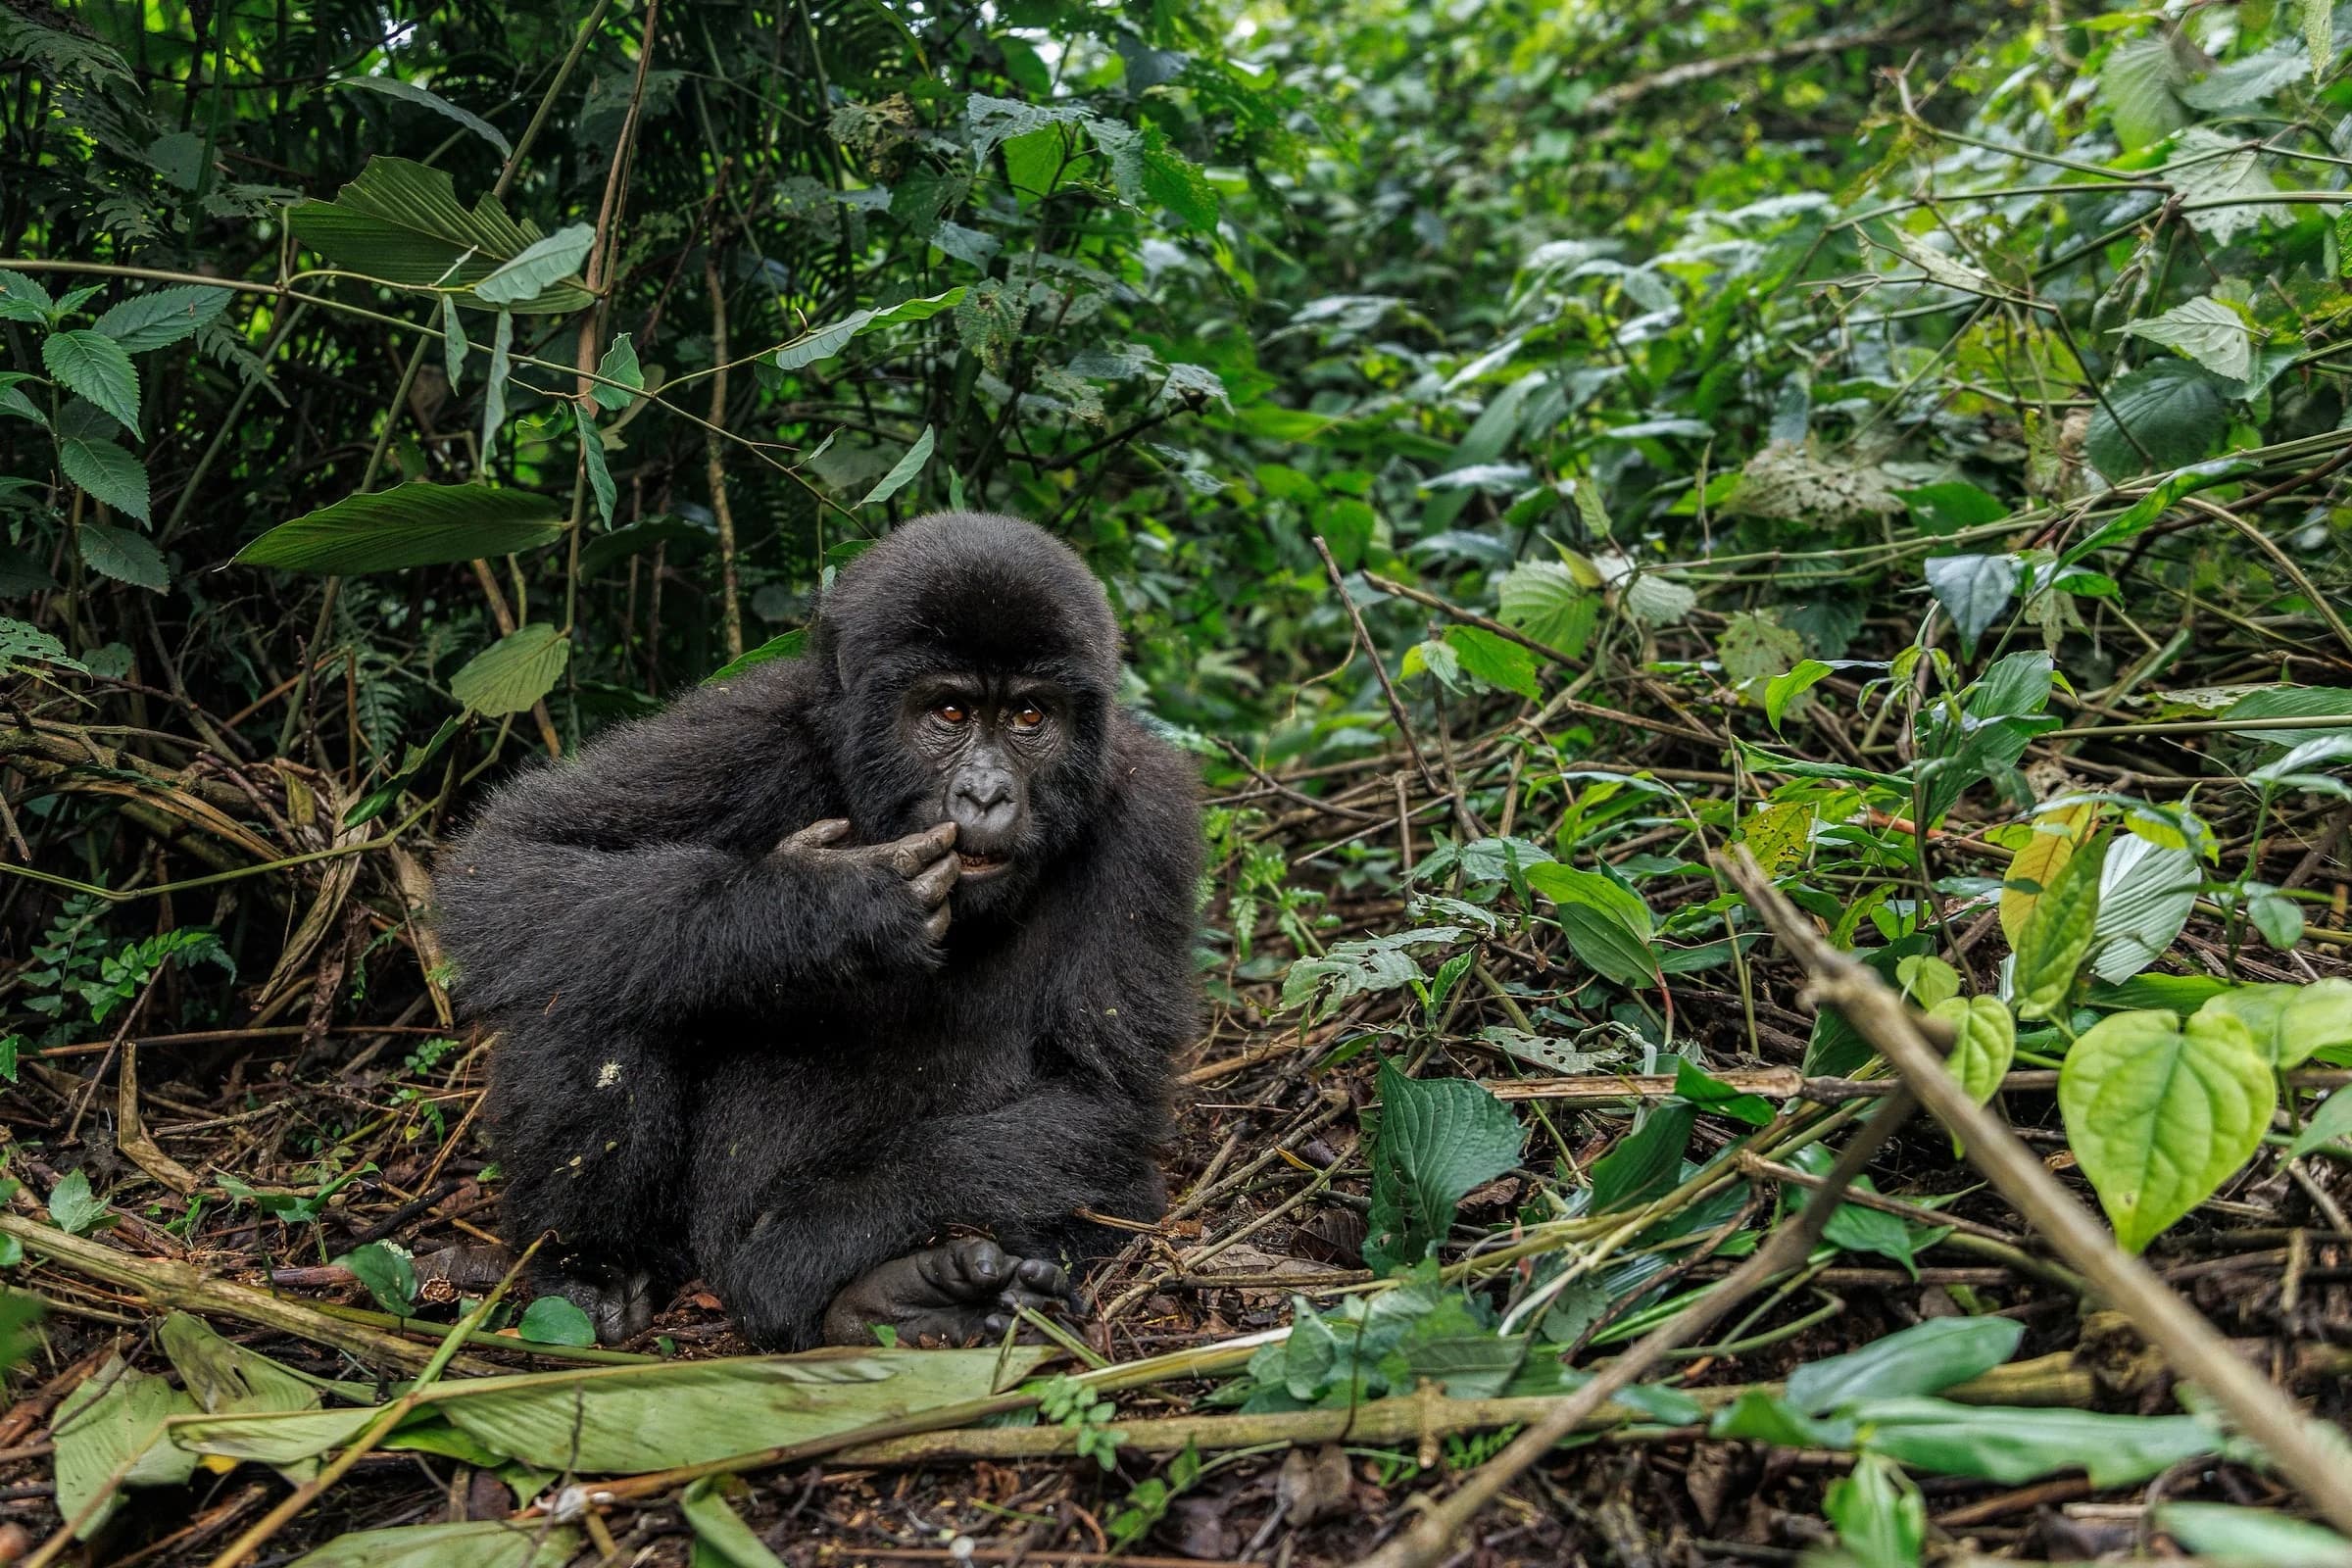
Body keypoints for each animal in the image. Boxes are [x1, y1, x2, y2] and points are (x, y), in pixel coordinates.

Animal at [432, 512, 1202, 1349]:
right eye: (950, 713)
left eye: (1031, 716)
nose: (986, 794)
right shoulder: (750, 726)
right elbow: (511, 860)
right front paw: (830, 911)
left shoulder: (1150, 814)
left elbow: (1101, 1099)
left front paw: (796, 1254)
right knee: (588, 969)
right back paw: (591, 1270)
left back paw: (907, 1303)